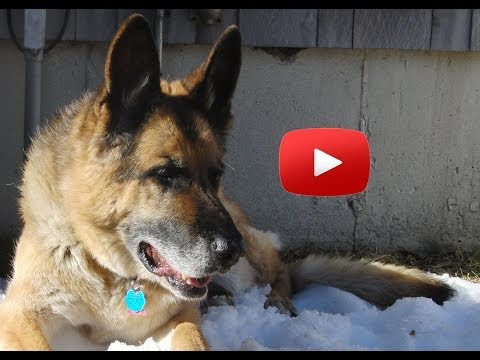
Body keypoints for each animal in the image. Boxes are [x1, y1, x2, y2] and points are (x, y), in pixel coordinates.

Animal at [0, 14, 454, 352]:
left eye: (215, 174)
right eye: (165, 174)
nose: (229, 252)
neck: (114, 274)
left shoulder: (181, 314)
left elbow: (193, 338)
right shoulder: (20, 314)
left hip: (251, 249)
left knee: (282, 274)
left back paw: (275, 302)